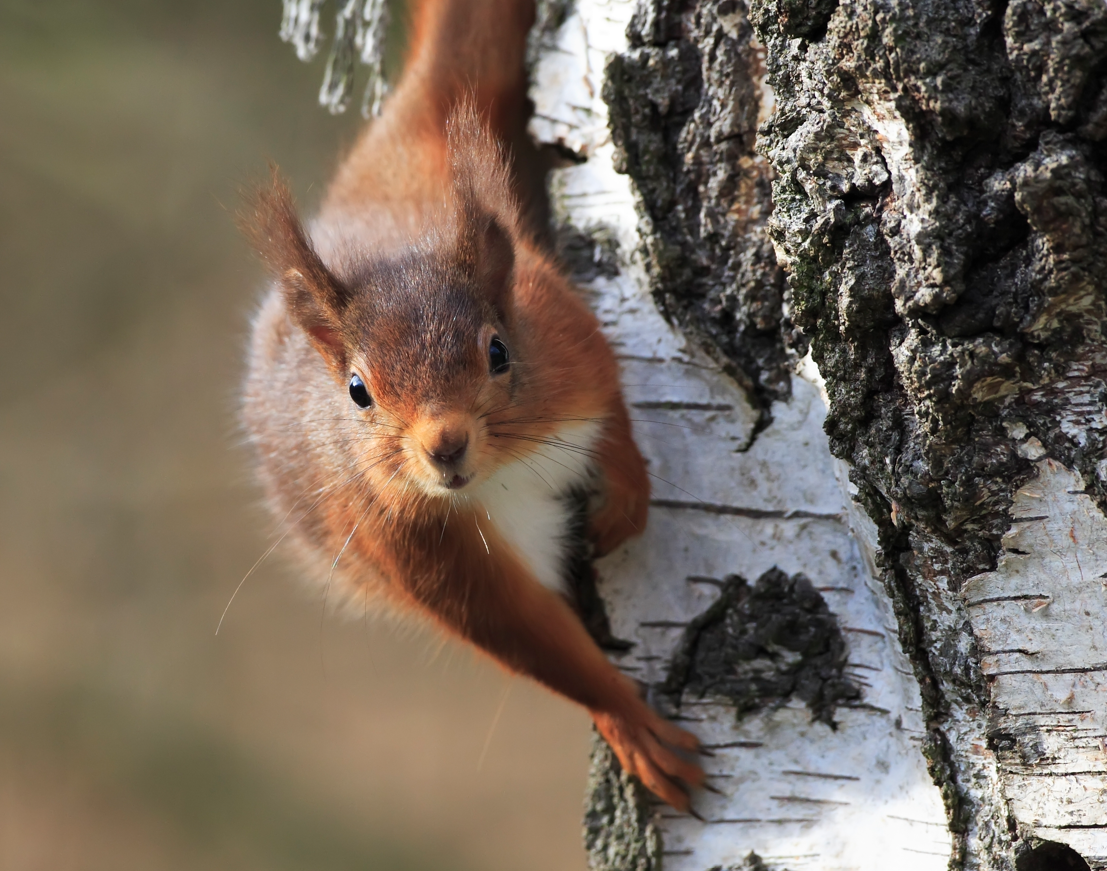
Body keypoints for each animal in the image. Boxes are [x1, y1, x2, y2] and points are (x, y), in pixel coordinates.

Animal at [241, 0, 704, 810]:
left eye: (498, 352)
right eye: (357, 391)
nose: (445, 445)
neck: (502, 473)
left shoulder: (568, 345)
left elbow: (612, 406)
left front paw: (626, 493)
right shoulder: (413, 547)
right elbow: (526, 638)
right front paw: (624, 717)